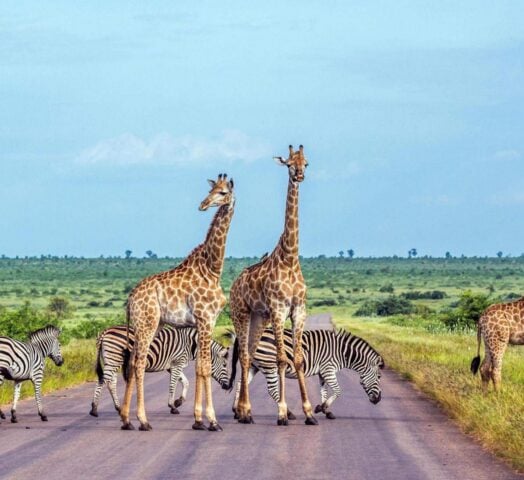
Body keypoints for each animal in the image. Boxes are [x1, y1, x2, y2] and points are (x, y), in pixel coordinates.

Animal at [89, 324, 230, 418]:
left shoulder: (172, 366)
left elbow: (186, 382)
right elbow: (173, 385)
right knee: (104, 380)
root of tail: (105, 332)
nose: (228, 387)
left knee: (110, 382)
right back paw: (94, 409)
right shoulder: (177, 362)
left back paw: (118, 408)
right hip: (114, 358)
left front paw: (179, 401)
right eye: (224, 365)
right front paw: (172, 406)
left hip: (112, 360)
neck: (191, 344)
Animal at [121, 172, 235, 432]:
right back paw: (143, 420)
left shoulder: (203, 323)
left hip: (148, 325)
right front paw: (212, 420)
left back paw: (126, 419)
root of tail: (130, 299)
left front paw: (198, 419)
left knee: (131, 362)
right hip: (147, 324)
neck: (213, 269)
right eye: (212, 190)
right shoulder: (206, 319)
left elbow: (200, 367)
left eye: (223, 192)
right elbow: (204, 367)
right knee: (138, 364)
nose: (203, 205)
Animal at [228, 144, 318, 426]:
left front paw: (309, 412)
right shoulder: (279, 309)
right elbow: (280, 359)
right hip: (241, 313)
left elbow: (297, 359)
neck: (290, 258)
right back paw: (245, 411)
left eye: (306, 163)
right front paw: (281, 413)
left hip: (260, 318)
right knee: (245, 356)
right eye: (289, 163)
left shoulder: (298, 310)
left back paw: (244, 411)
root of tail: (234, 284)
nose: (299, 175)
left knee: (249, 354)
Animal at [231, 328, 382, 418]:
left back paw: (236, 411)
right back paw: (288, 413)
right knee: (272, 390)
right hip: (269, 364)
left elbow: (324, 391)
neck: (342, 352)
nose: (378, 400)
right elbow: (338, 390)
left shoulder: (323, 372)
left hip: (253, 366)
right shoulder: (328, 369)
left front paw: (325, 410)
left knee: (240, 383)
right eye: (379, 377)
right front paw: (322, 408)